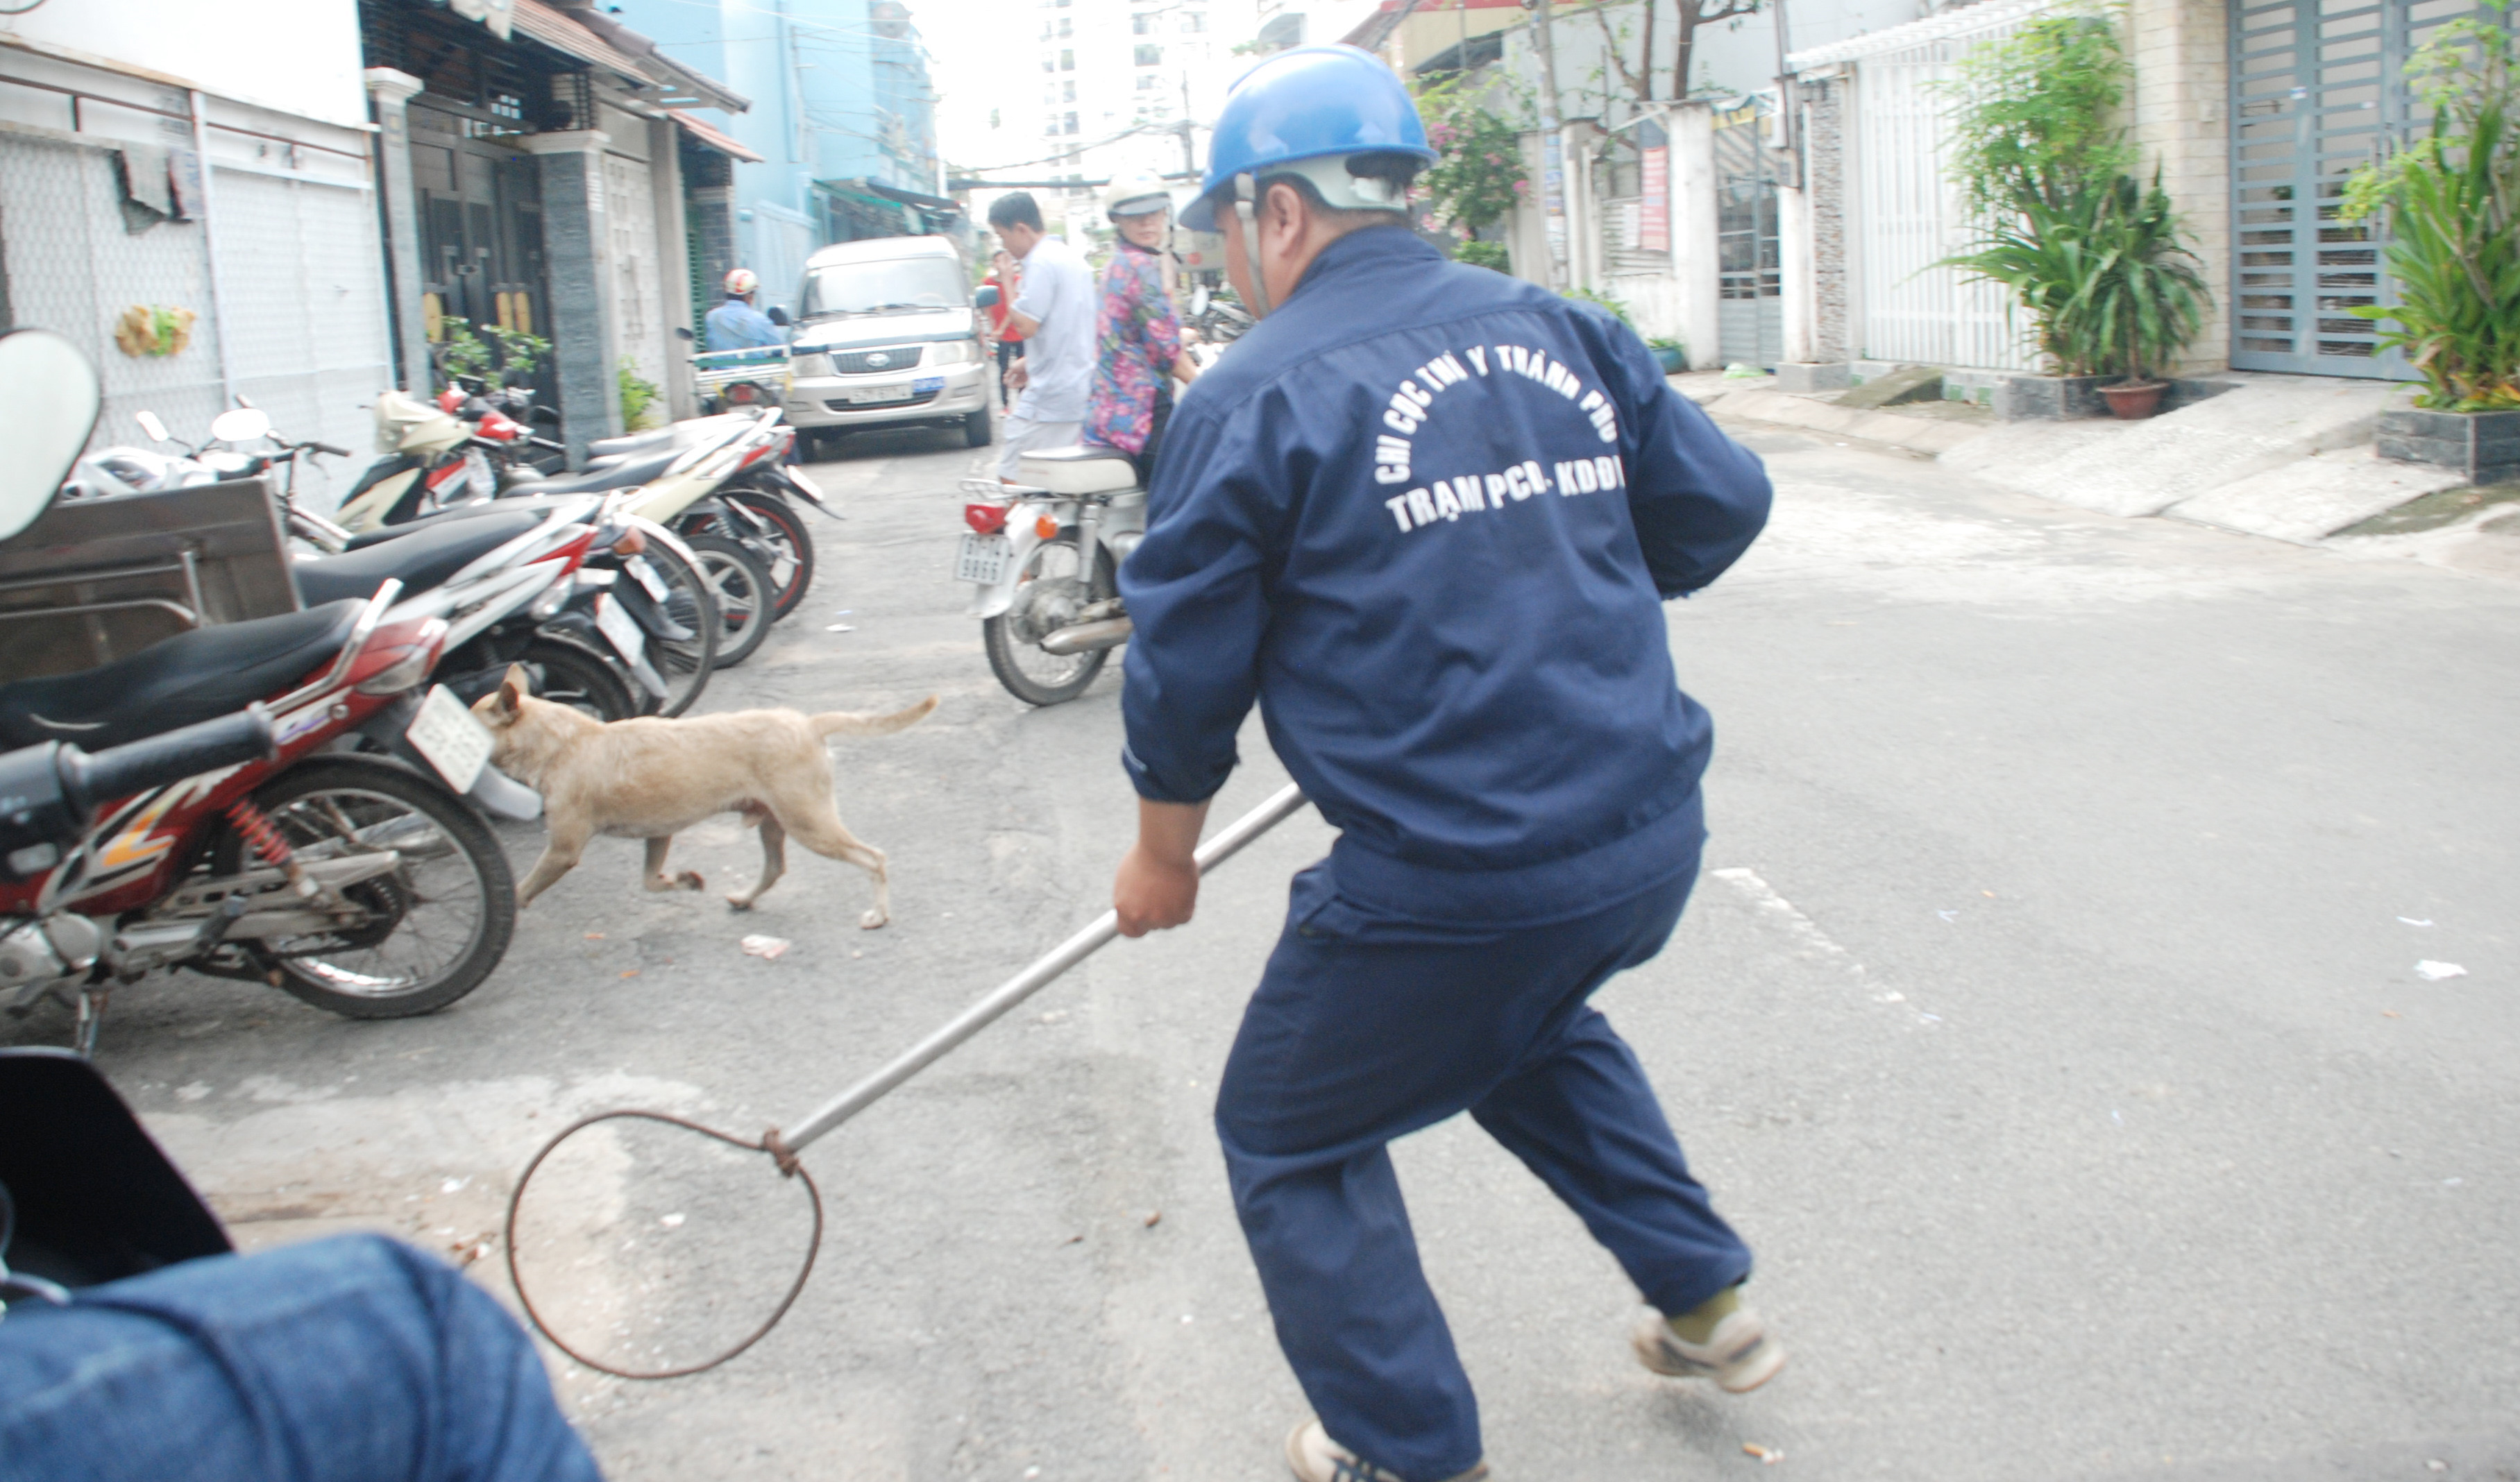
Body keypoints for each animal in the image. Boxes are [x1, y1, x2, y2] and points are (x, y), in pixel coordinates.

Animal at [471, 670, 937, 927]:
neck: (561, 742)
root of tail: (808, 724)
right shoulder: (658, 833)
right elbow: (651, 881)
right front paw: (684, 881)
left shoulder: (563, 850)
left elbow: (522, 888)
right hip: (775, 823)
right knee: (775, 869)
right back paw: (745, 898)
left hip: (809, 823)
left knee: (873, 858)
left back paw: (878, 914)